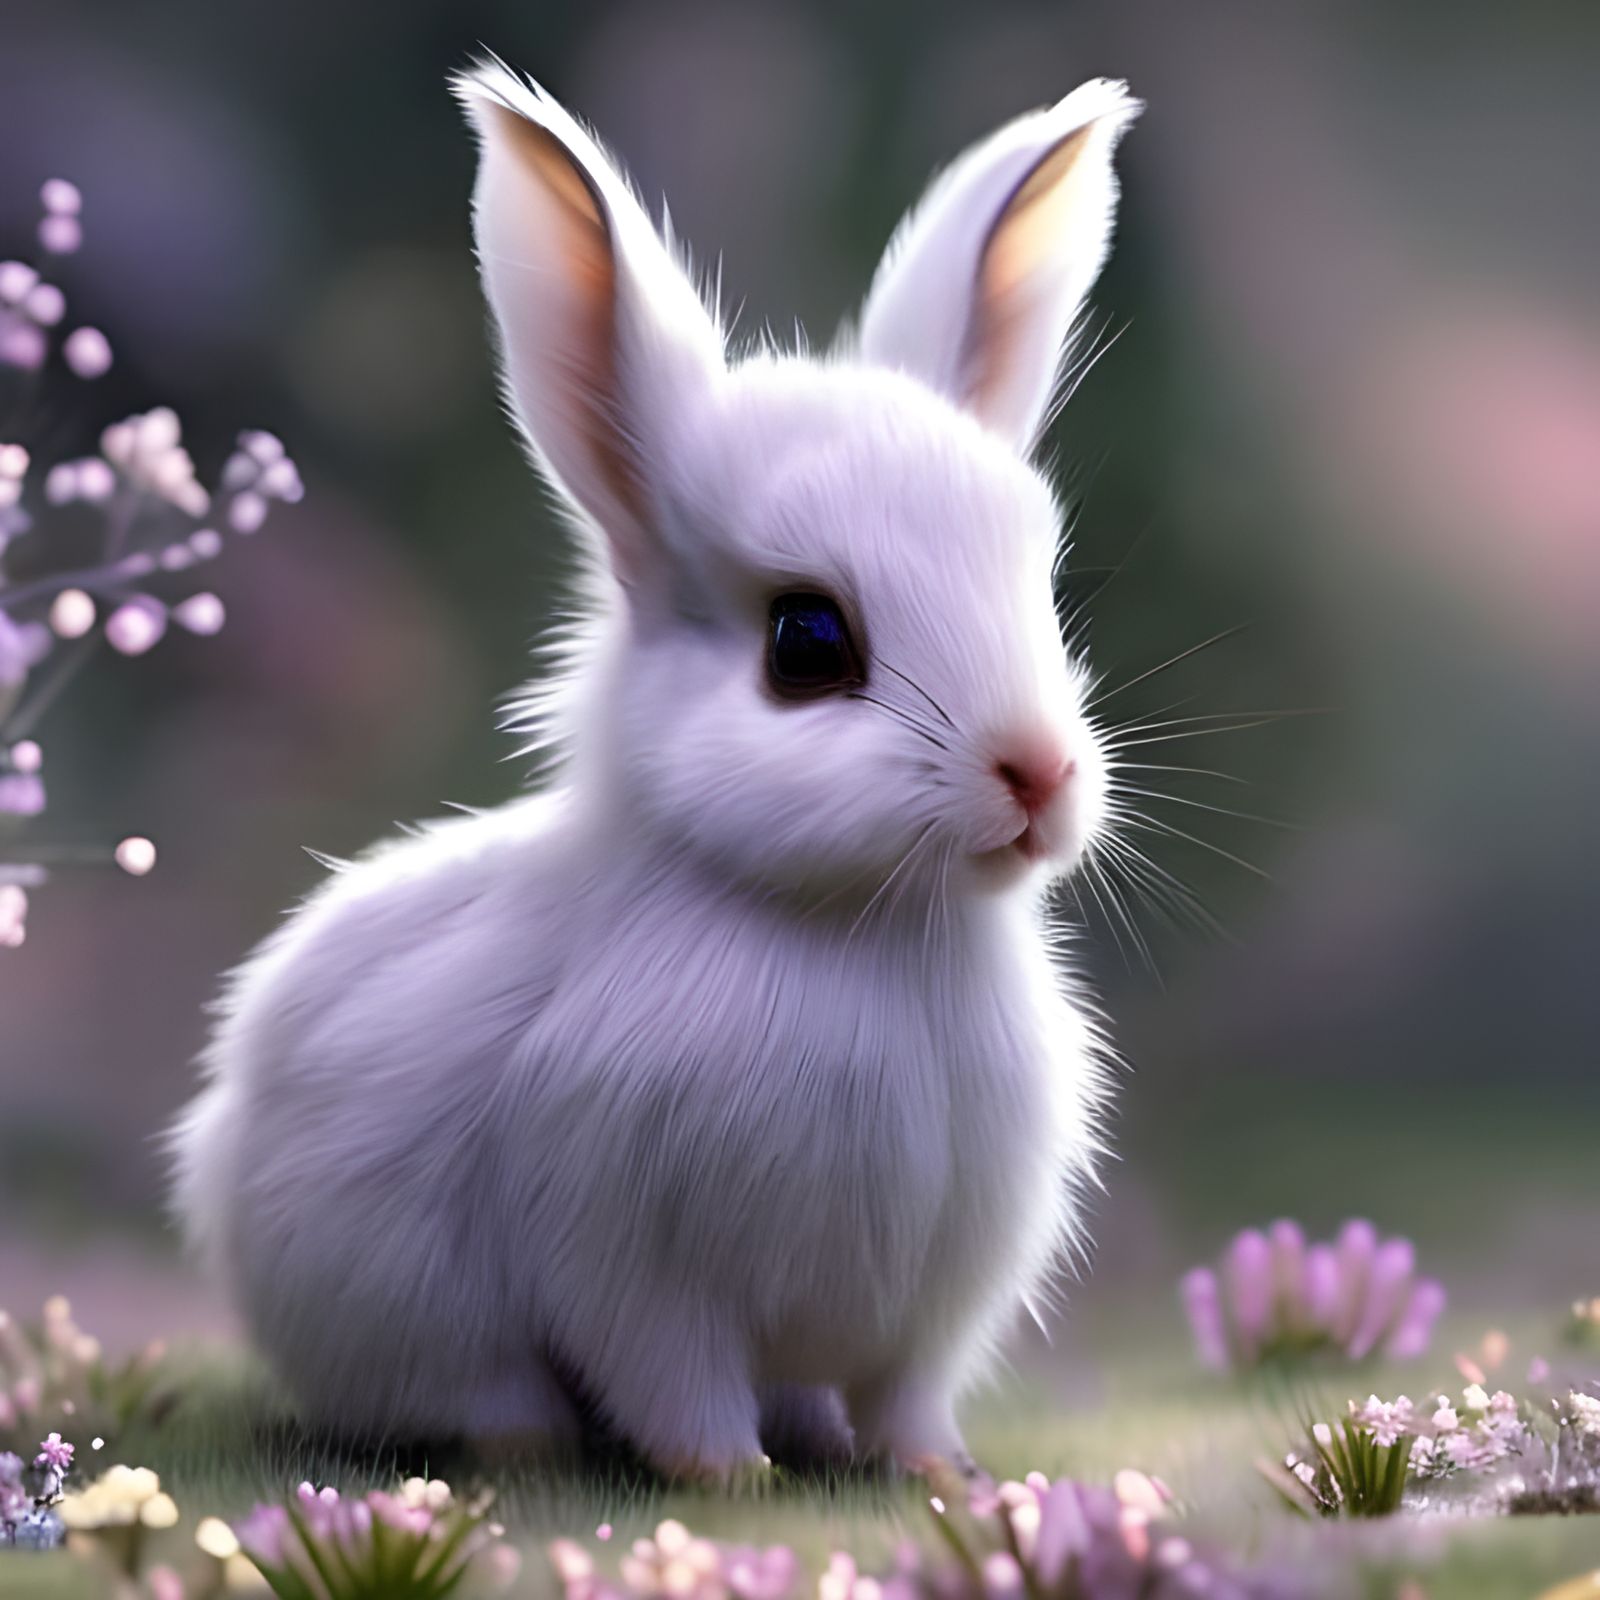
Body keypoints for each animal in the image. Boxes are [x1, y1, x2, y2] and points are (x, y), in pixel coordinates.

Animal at [168, 57, 1141, 1480]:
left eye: (1043, 585)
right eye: (807, 640)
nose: (1038, 773)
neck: (867, 932)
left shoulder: (935, 1304)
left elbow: (908, 1399)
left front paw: (936, 1473)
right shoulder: (632, 1263)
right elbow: (676, 1384)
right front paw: (727, 1477)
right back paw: (533, 1443)